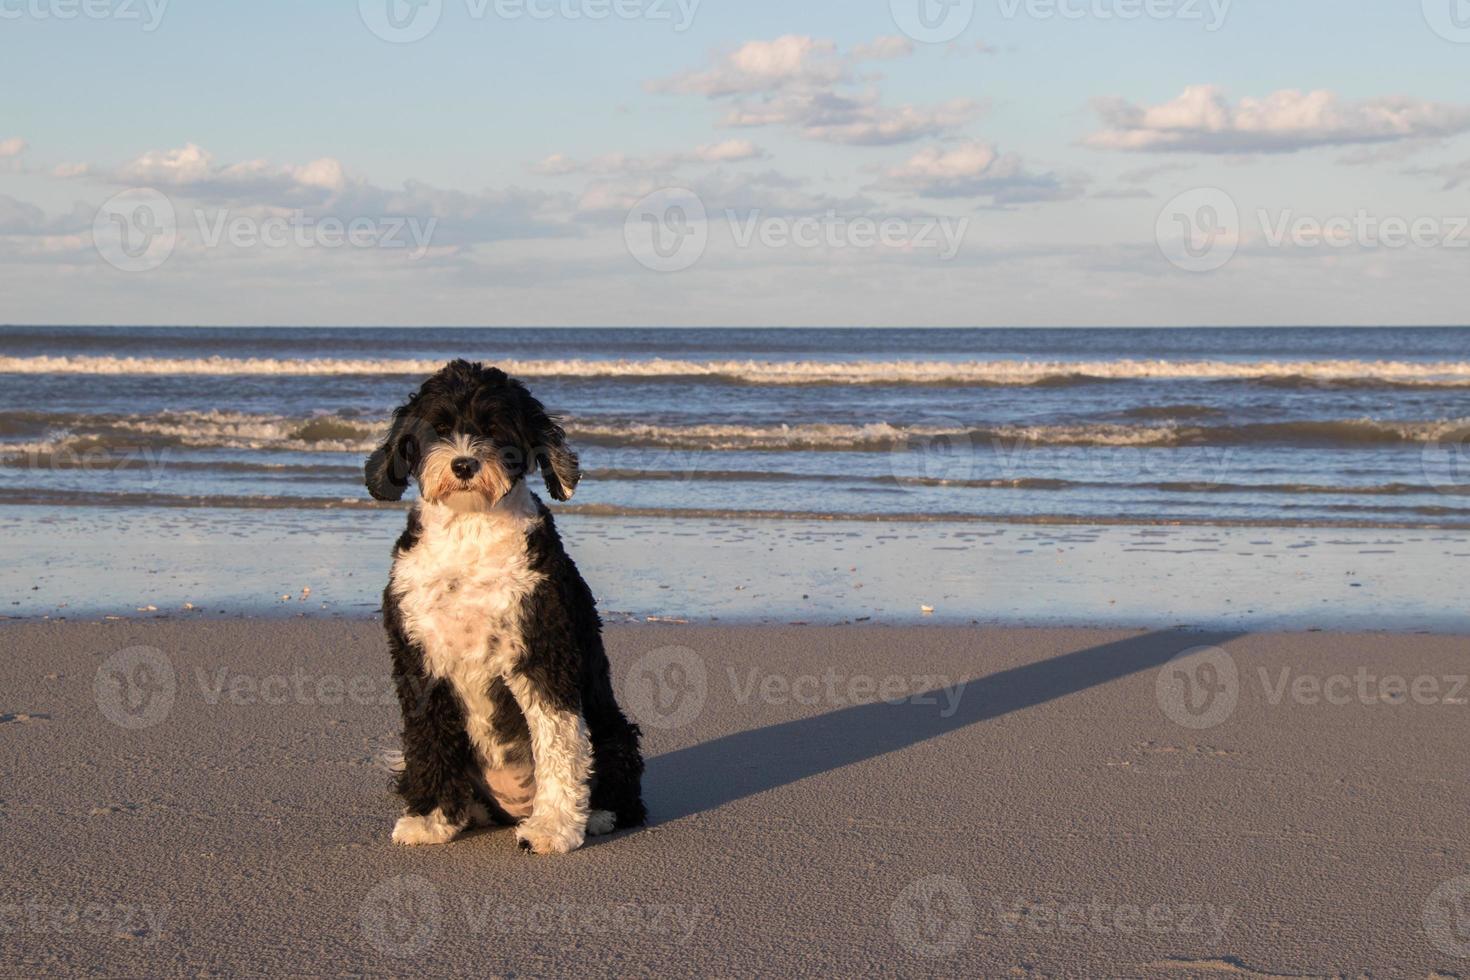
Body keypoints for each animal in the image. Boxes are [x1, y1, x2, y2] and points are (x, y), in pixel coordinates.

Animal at [363, 359, 643, 852]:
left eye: (495, 429)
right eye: (438, 428)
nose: (464, 463)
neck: (470, 530)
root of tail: (510, 808)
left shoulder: (543, 651)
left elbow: (558, 740)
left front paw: (553, 828)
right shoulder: (418, 659)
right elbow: (428, 738)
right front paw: (430, 819)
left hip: (615, 735)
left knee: (620, 791)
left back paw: (594, 816)